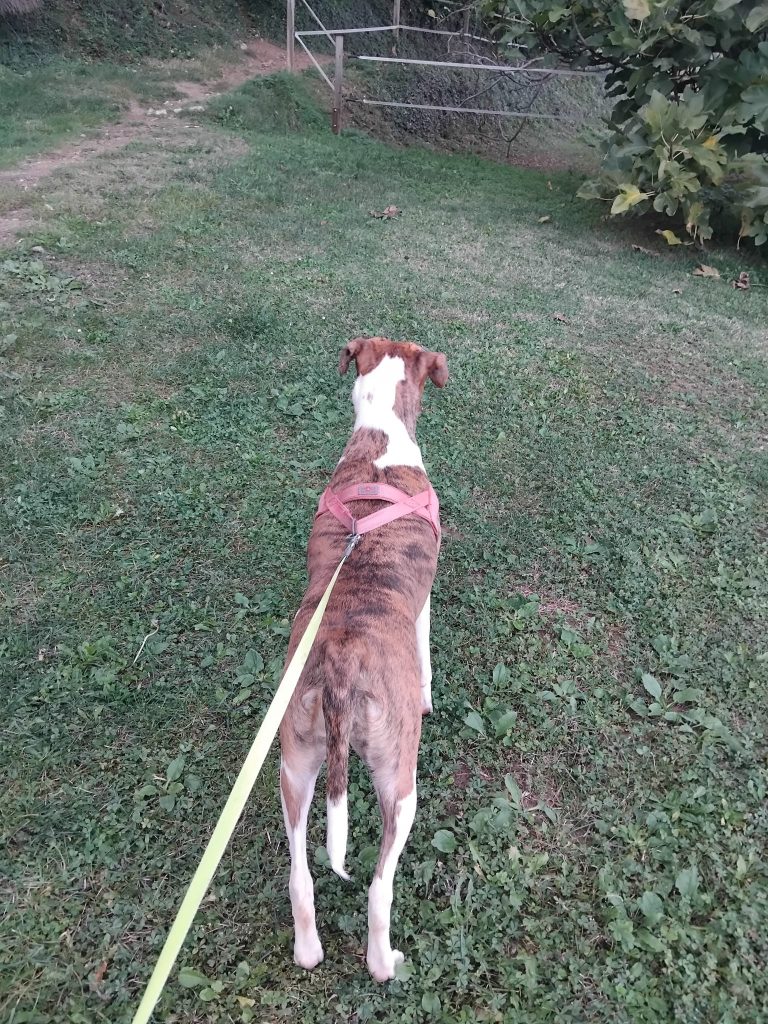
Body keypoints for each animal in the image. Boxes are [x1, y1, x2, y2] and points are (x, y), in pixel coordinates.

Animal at [278, 336, 448, 982]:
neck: (378, 439)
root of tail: (342, 668)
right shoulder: (425, 604)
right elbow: (426, 654)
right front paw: (428, 696)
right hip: (400, 783)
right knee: (379, 886)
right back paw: (383, 962)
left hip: (295, 764)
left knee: (300, 875)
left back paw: (307, 950)